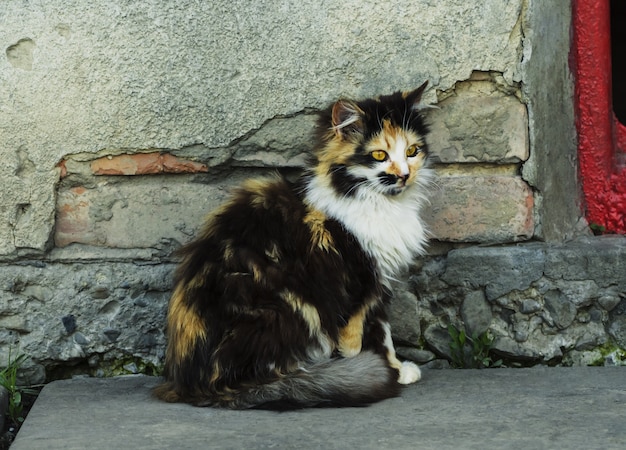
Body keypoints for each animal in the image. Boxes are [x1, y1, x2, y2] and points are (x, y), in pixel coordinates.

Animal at [154, 82, 432, 410]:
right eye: (379, 154)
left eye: (412, 151)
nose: (403, 175)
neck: (378, 203)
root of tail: (191, 385)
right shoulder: (357, 284)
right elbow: (357, 341)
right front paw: (376, 368)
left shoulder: (378, 285)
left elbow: (384, 333)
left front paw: (397, 368)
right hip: (280, 306)